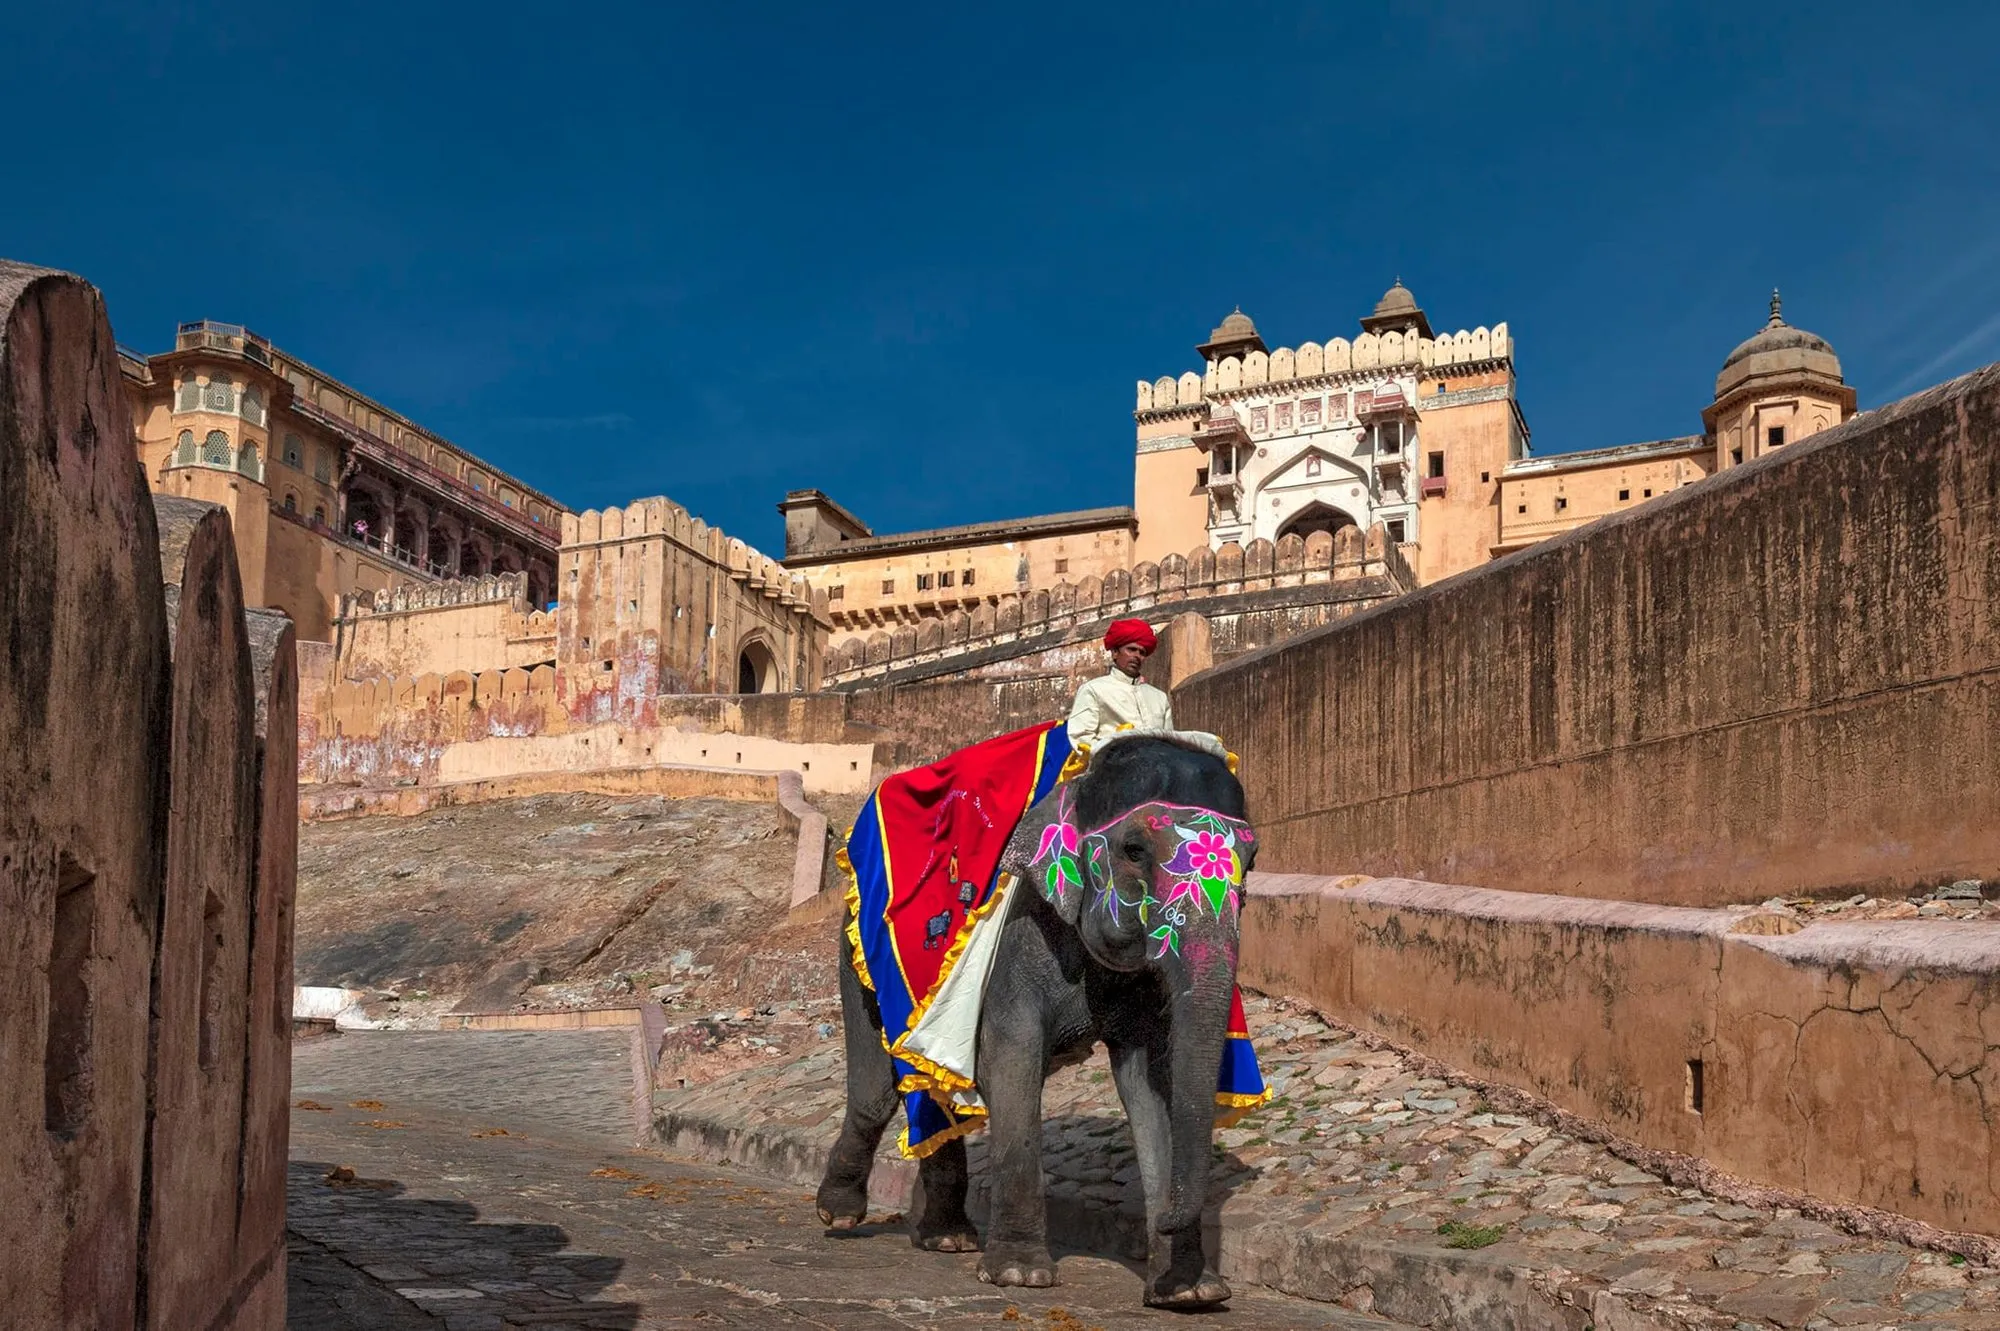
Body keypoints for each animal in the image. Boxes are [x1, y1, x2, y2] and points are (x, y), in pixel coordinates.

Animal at [815, 736, 1256, 1308]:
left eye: (1252, 861)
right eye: (1134, 850)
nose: (1162, 1225)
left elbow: (1151, 1083)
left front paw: (1188, 1293)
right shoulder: (1022, 933)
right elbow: (1011, 1056)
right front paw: (1019, 1275)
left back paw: (945, 1237)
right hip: (859, 950)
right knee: (878, 1090)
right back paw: (840, 1215)